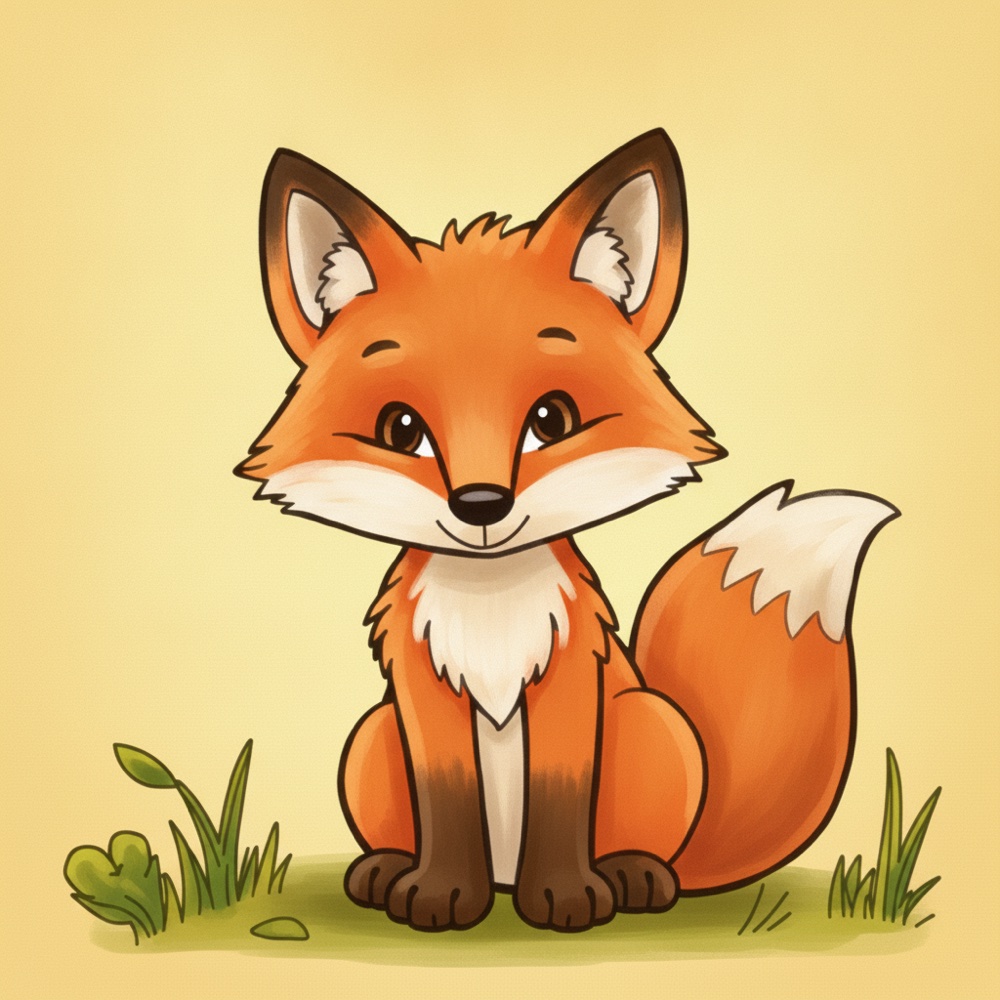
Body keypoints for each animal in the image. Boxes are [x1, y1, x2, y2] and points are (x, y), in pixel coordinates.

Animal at [236, 129, 898, 932]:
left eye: (551, 420)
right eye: (402, 430)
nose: (480, 504)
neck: (490, 606)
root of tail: (502, 876)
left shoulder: (572, 679)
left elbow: (560, 796)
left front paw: (566, 897)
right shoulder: (422, 695)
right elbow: (446, 801)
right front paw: (438, 894)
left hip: (648, 723)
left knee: (656, 857)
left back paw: (634, 877)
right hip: (370, 737)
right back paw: (390, 870)